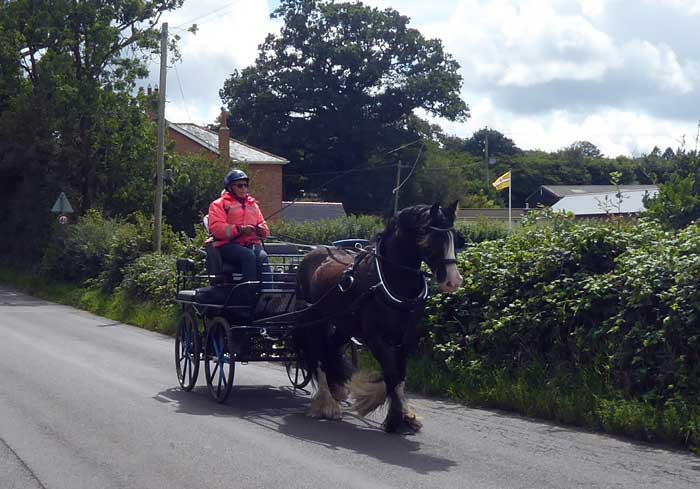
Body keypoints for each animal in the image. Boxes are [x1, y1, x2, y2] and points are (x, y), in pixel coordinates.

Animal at [294, 201, 464, 430]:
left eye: (455, 238)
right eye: (431, 239)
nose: (453, 281)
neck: (391, 280)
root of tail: (314, 252)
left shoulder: (405, 338)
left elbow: (399, 375)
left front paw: (406, 415)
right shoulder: (375, 338)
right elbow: (391, 373)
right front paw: (395, 418)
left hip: (344, 325)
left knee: (331, 348)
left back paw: (336, 390)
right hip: (314, 319)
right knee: (319, 354)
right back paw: (328, 403)